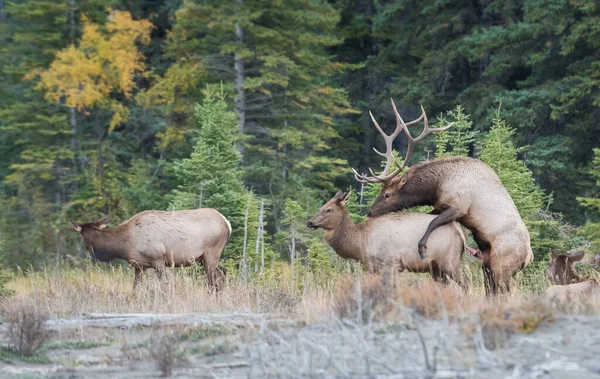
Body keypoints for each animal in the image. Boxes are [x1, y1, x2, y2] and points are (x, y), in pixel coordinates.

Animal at [69, 209, 230, 292]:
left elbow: (164, 287)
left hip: (211, 253)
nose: (91, 254)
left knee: (214, 279)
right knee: (221, 275)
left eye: (83, 237)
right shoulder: (139, 265)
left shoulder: (158, 259)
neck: (125, 245)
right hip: (204, 258)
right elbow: (135, 288)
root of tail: (227, 223)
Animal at [308, 191, 466, 284]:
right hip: (435, 267)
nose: (309, 222)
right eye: (322, 207)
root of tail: (460, 232)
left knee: (464, 283)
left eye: (328, 210)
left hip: (449, 260)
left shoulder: (390, 263)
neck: (360, 242)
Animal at [354, 100, 532, 294]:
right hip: (487, 264)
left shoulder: (460, 207)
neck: (437, 185)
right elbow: (429, 217)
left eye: (387, 194)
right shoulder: (439, 205)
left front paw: (422, 247)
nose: (370, 212)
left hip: (502, 265)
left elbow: (433, 222)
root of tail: (529, 257)